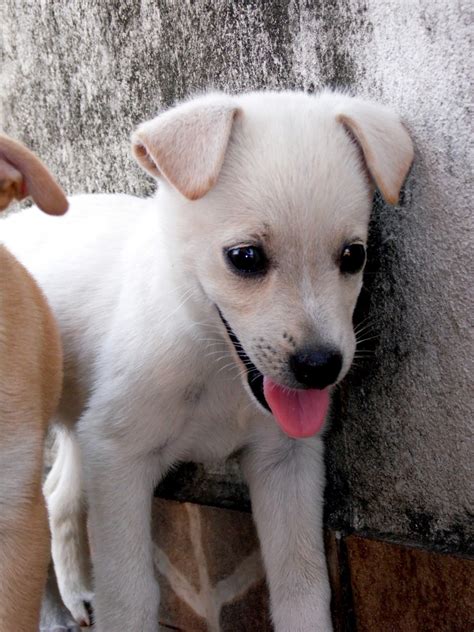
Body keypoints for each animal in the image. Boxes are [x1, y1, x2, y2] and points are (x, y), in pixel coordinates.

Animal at [0, 90, 412, 632]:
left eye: (353, 255)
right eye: (245, 257)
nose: (320, 367)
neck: (217, 368)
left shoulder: (286, 460)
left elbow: (302, 589)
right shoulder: (118, 456)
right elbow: (130, 596)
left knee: (58, 495)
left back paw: (78, 594)